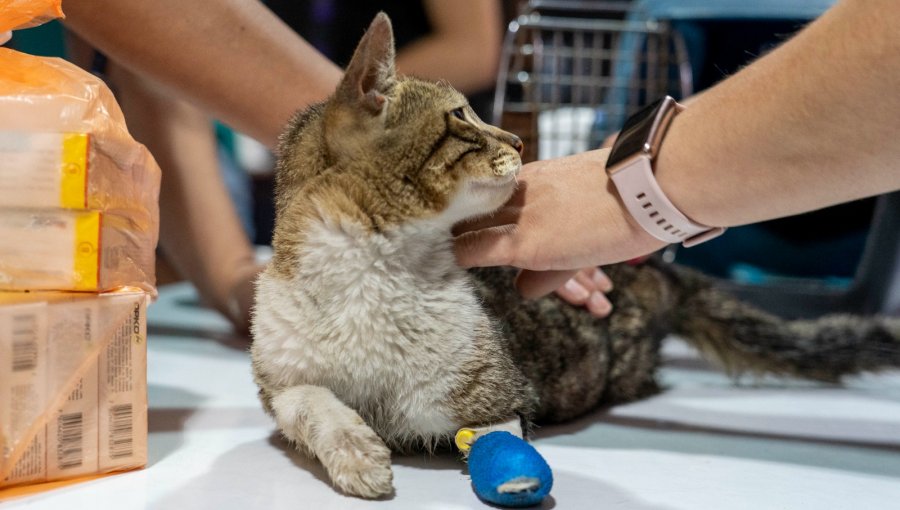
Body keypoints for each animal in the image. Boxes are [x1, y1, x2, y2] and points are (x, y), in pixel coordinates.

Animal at [250, 12, 900, 502]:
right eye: (462, 116)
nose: (518, 139)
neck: (371, 274)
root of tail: (656, 272)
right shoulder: (278, 377)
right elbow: (306, 403)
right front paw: (358, 450)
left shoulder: (498, 392)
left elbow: (495, 438)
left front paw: (511, 476)